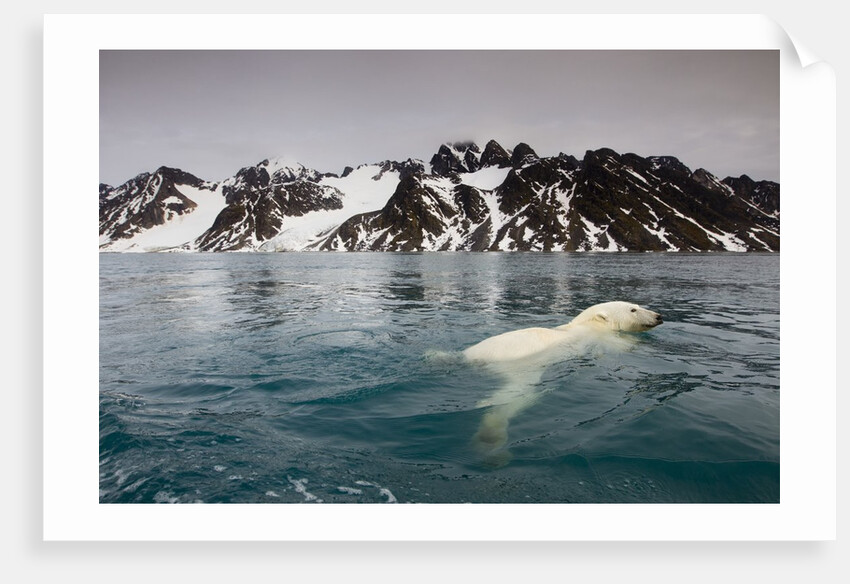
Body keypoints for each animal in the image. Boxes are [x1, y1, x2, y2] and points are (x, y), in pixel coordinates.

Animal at [463, 301, 663, 463]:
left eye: (637, 305)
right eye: (633, 309)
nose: (658, 316)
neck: (589, 324)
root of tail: (469, 357)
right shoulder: (601, 338)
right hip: (522, 367)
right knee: (514, 396)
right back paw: (491, 441)